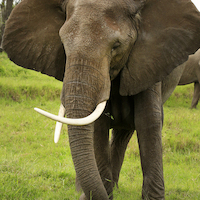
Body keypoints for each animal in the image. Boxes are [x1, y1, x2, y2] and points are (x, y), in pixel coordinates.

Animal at [2, 0, 200, 200]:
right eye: (63, 45)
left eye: (116, 46)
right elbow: (98, 126)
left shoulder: (149, 61)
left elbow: (148, 122)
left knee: (125, 131)